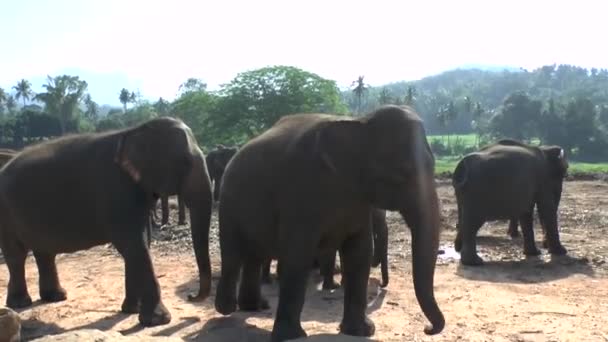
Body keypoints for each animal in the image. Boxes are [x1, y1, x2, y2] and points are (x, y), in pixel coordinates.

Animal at [0, 117, 214, 326]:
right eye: (185, 162)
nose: (191, 296)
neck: (134, 131)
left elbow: (140, 244)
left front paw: (131, 310)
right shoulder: (116, 190)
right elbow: (133, 245)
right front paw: (157, 320)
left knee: (44, 252)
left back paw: (55, 297)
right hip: (6, 212)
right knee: (16, 255)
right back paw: (20, 303)